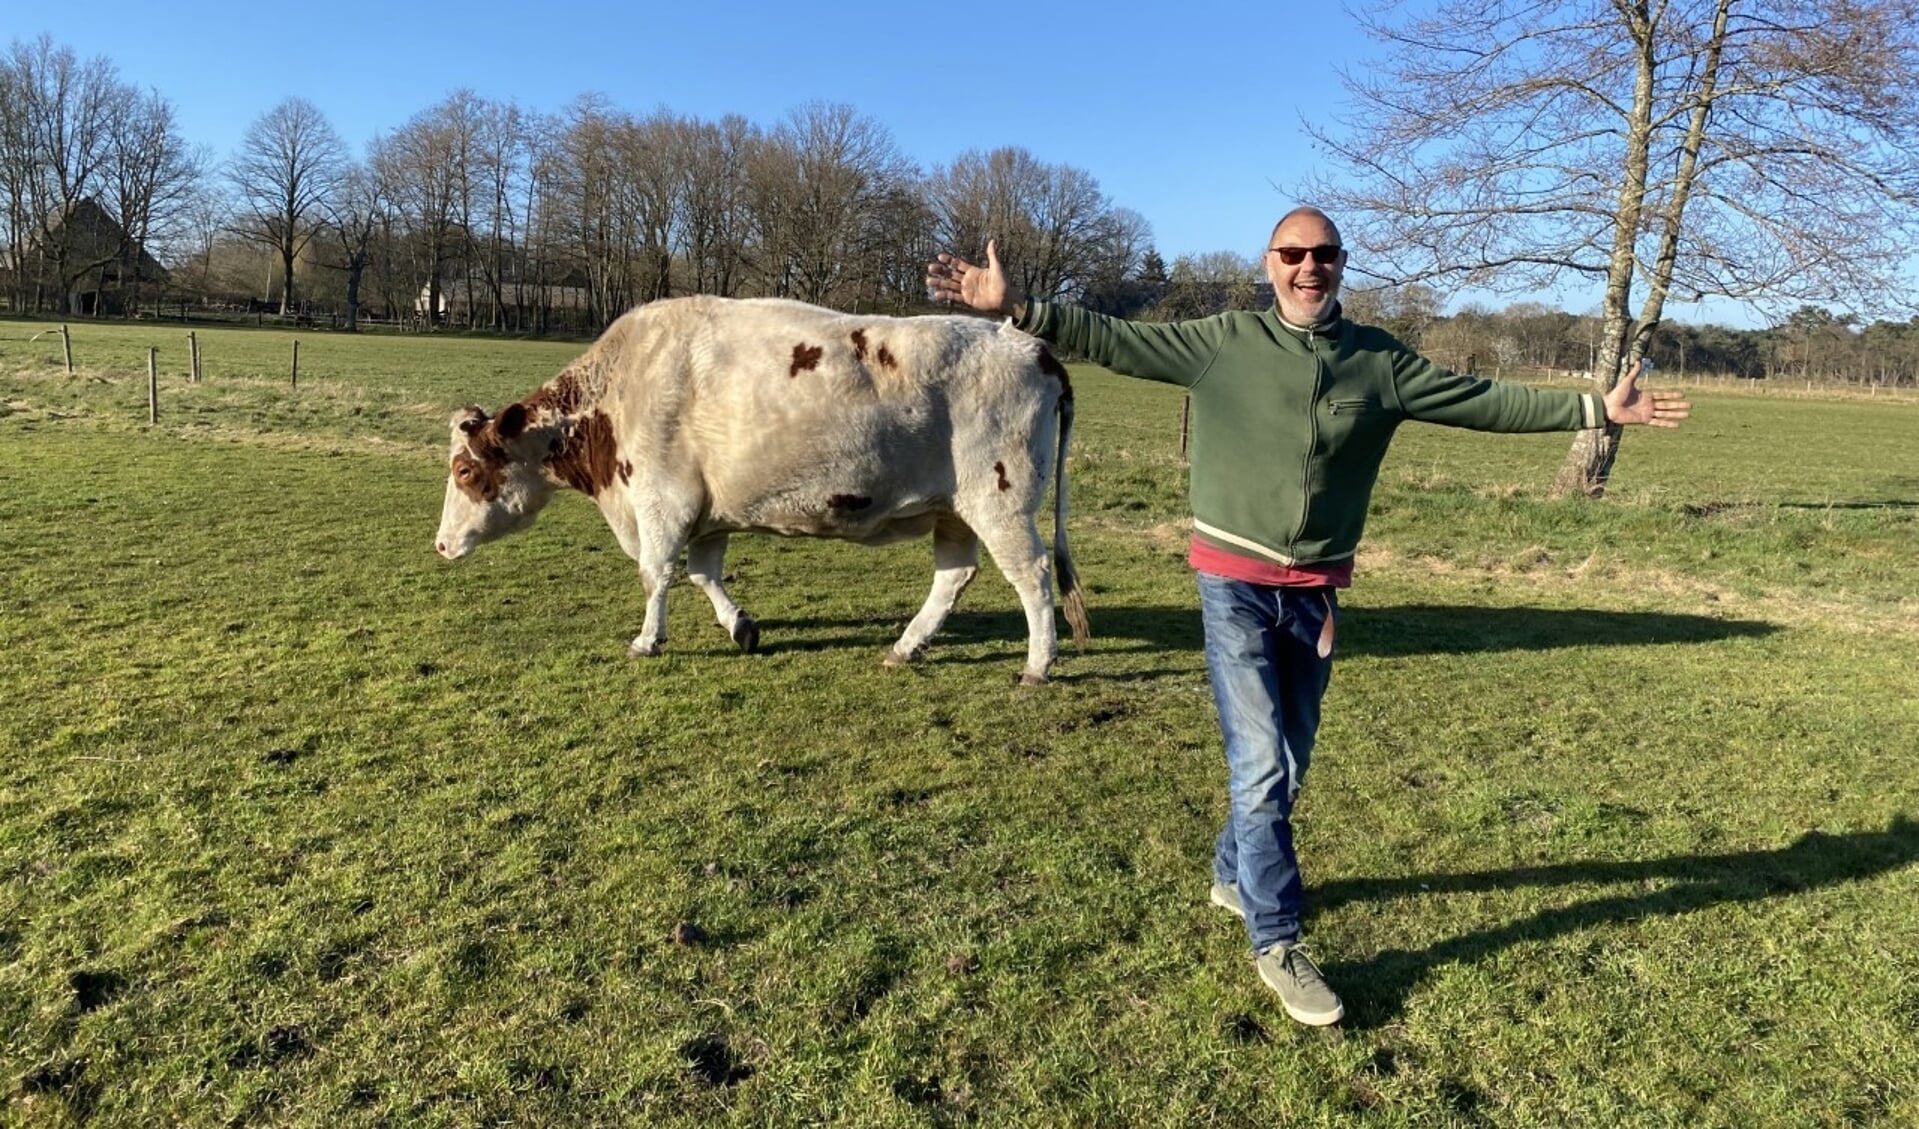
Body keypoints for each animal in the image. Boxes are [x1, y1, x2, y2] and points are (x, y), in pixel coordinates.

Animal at [439, 295, 1097, 679]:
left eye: (465, 472)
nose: (441, 544)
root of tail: (1033, 345)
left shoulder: (661, 502)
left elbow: (656, 574)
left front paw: (648, 640)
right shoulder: (705, 511)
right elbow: (702, 573)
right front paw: (741, 627)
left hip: (1001, 503)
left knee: (1033, 576)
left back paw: (1039, 664)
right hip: (954, 510)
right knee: (954, 576)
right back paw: (906, 646)